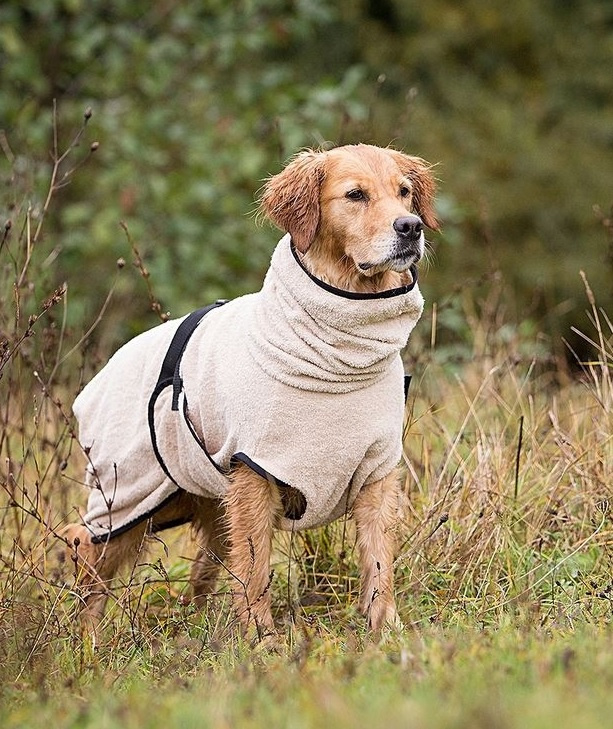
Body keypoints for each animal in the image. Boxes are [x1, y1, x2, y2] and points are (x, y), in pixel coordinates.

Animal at [62, 144, 436, 636]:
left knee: (200, 573)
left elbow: (378, 560)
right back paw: (85, 640)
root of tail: (102, 373)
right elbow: (256, 568)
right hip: (126, 498)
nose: (410, 227)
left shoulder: (376, 470)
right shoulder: (255, 474)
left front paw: (386, 629)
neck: (338, 356)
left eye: (405, 192)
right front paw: (262, 637)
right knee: (87, 554)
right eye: (355, 195)